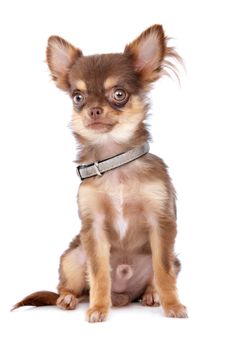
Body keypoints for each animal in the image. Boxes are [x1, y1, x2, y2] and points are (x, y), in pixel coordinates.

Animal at [12, 23, 187, 322]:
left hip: (174, 259)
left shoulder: (161, 223)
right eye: (77, 97)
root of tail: (124, 296)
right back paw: (69, 299)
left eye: (119, 94)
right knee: (69, 287)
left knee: (158, 274)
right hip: (72, 256)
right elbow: (98, 273)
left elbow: (163, 271)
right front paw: (97, 309)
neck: (115, 161)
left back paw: (151, 295)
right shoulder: (93, 230)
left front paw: (173, 306)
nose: (92, 110)